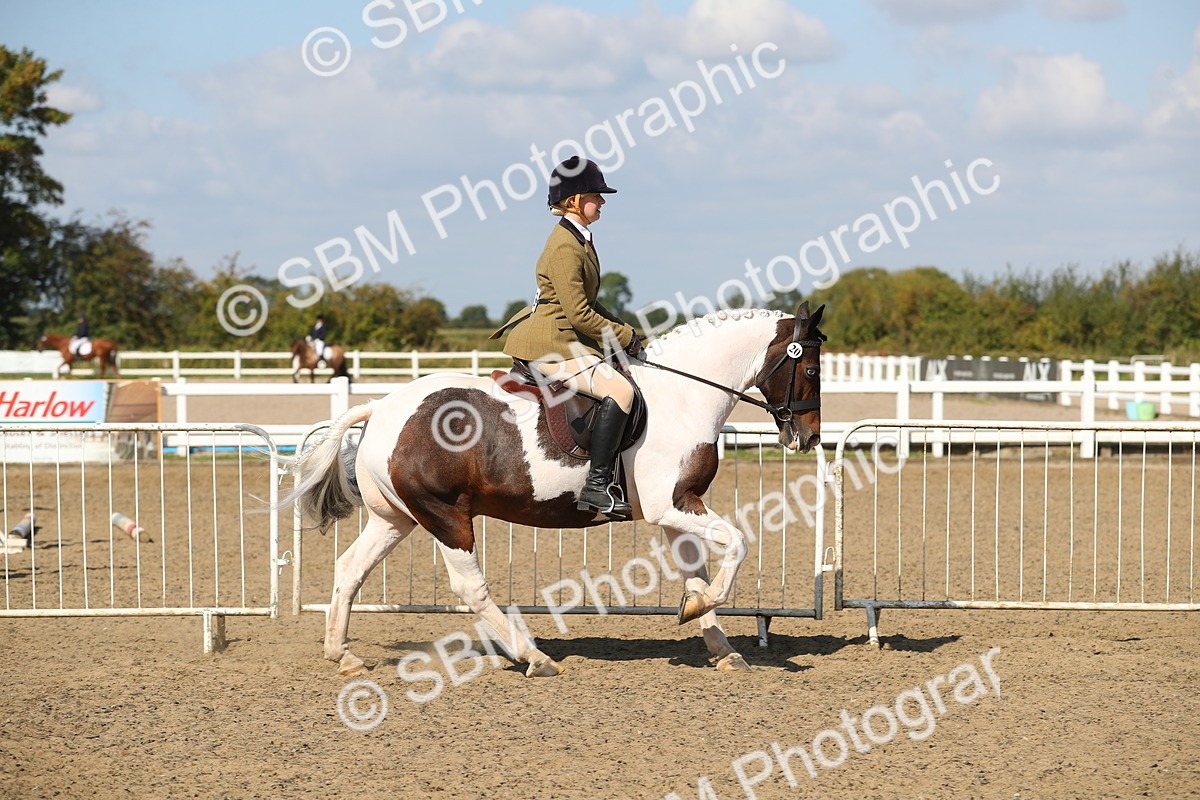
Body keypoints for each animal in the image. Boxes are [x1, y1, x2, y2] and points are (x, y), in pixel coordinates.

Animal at [285, 302, 825, 677]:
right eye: (813, 370)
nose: (809, 438)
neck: (684, 395)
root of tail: (381, 408)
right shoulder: (669, 506)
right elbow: (738, 542)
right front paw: (704, 612)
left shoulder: (681, 505)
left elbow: (696, 573)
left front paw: (718, 641)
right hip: (446, 515)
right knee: (470, 588)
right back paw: (534, 657)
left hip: (396, 517)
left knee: (350, 568)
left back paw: (342, 655)